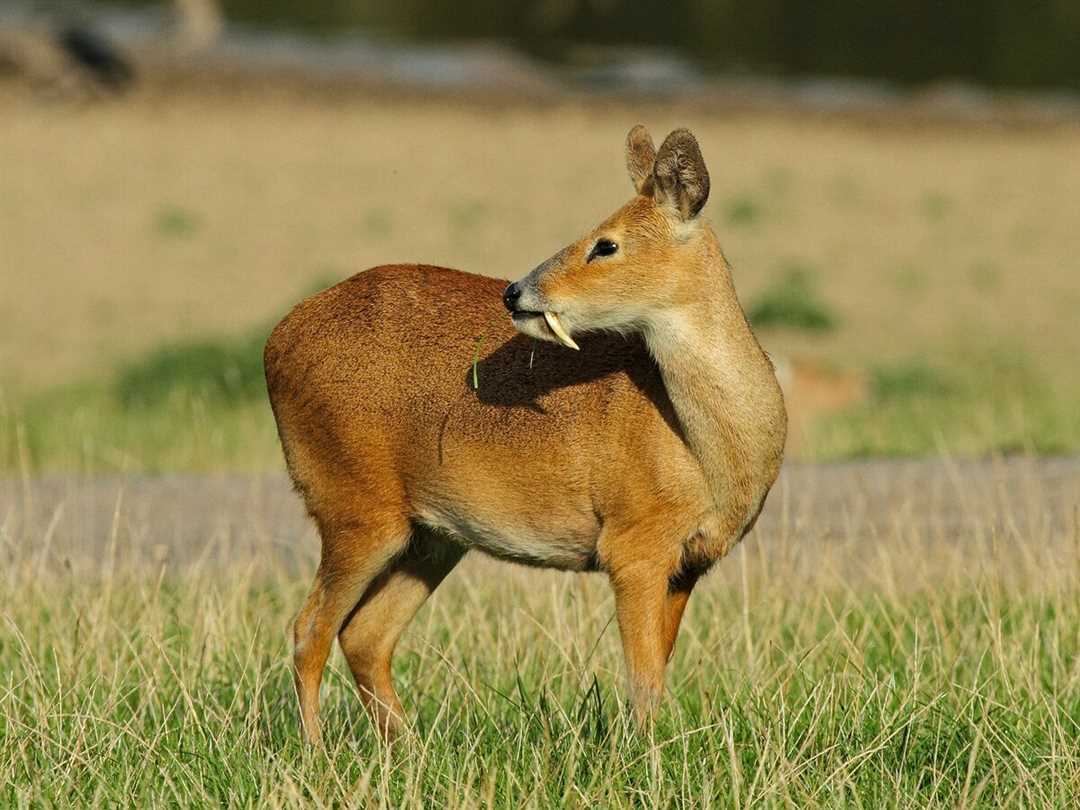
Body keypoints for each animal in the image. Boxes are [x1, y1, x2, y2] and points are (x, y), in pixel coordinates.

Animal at [261, 125, 786, 743]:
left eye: (605, 245)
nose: (516, 291)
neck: (708, 450)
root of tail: (276, 342)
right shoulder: (632, 543)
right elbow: (643, 681)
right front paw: (645, 756)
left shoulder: (689, 562)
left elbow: (656, 670)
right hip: (353, 506)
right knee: (309, 630)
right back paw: (319, 752)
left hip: (431, 536)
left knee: (364, 635)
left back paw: (409, 750)